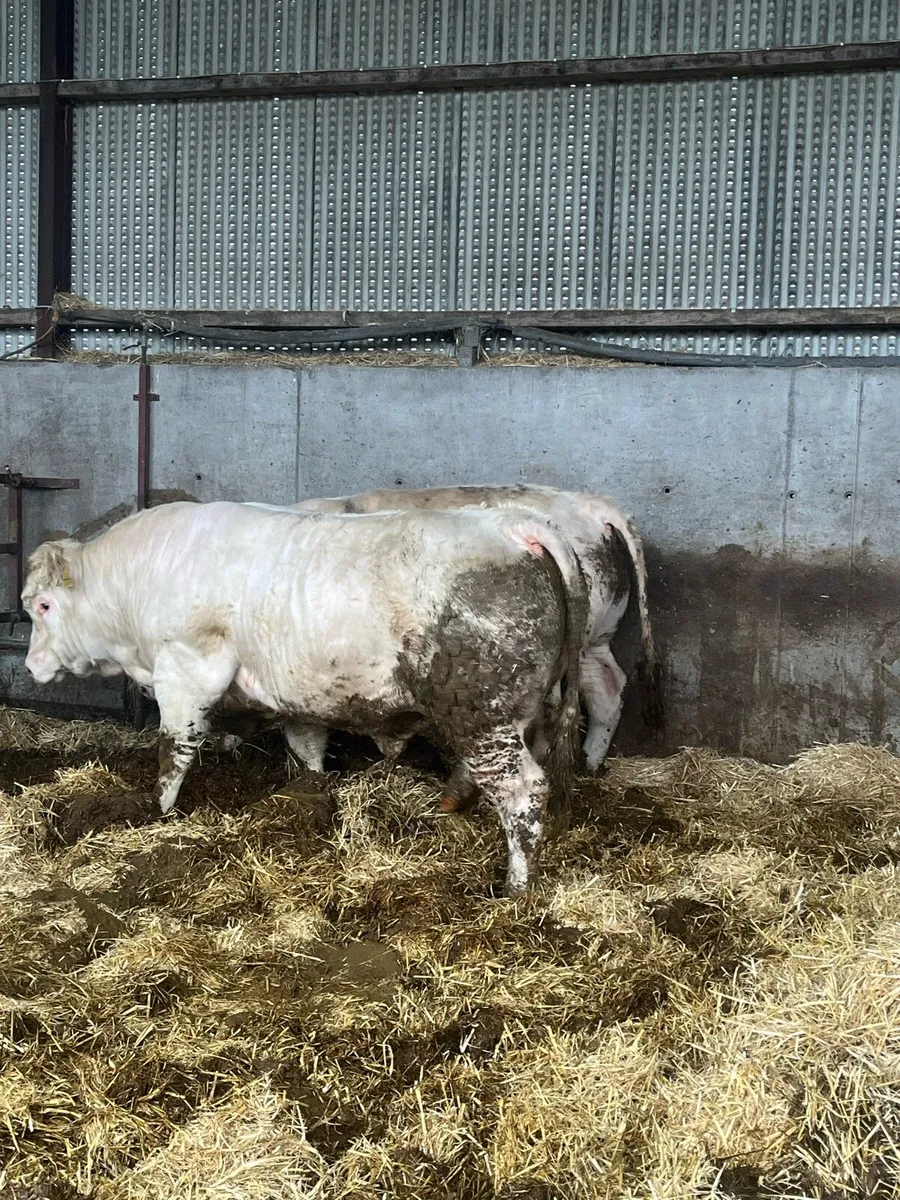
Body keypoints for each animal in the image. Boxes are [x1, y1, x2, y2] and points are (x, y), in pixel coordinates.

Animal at [22, 501, 589, 894]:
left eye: (44, 605)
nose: (30, 665)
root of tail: (513, 523)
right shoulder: (298, 698)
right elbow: (308, 752)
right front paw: (312, 801)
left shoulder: (188, 670)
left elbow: (173, 752)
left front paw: (155, 813)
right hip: (522, 713)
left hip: (482, 714)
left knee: (524, 791)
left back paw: (516, 887)